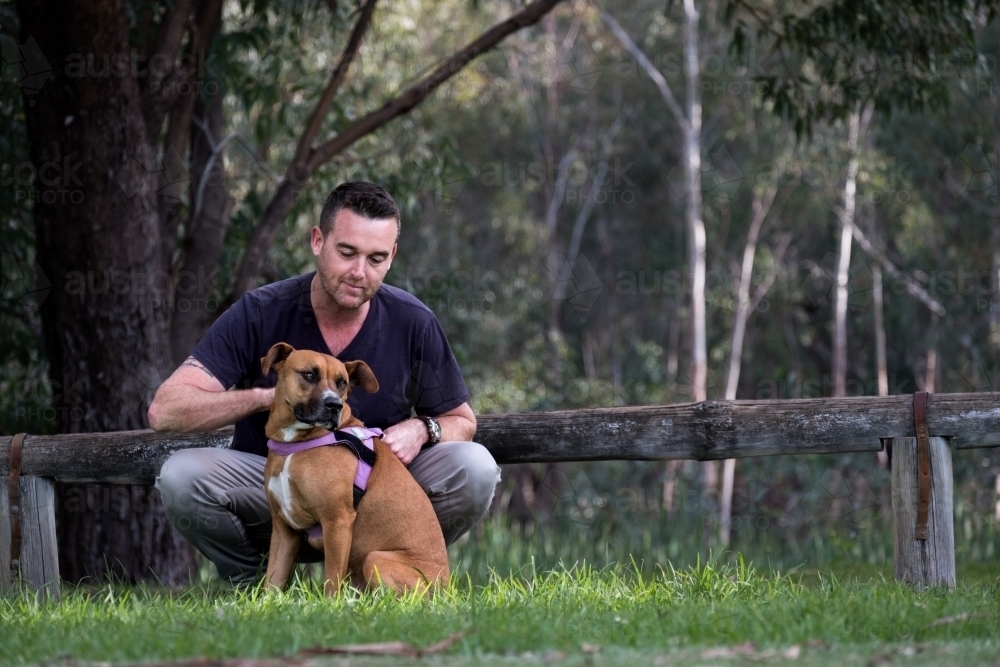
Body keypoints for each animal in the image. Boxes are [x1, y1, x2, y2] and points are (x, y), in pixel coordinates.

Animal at [260, 344, 448, 596]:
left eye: (342, 383)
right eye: (309, 375)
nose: (334, 405)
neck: (296, 443)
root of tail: (446, 586)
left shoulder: (337, 522)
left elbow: (331, 581)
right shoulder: (284, 530)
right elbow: (272, 581)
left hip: (376, 559)